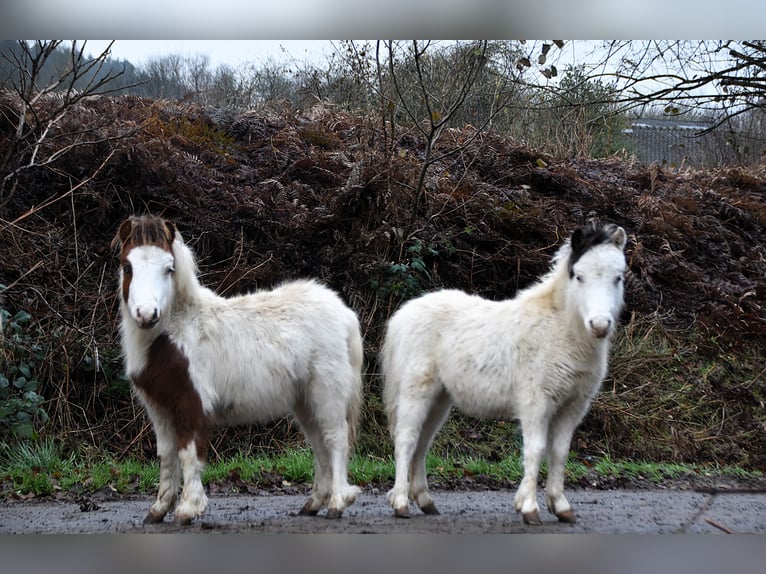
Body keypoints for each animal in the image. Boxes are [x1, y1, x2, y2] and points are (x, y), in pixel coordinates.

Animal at [113, 216, 366, 528]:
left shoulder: (191, 403)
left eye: (169, 268)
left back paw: (337, 503)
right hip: (305, 401)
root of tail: (344, 314)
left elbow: (189, 454)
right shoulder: (159, 408)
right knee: (320, 446)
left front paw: (187, 509)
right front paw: (158, 509)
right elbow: (167, 455)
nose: (147, 314)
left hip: (327, 393)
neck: (175, 333)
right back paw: (313, 504)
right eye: (127, 267)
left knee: (335, 440)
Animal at [384, 222, 632, 528]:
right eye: (579, 276)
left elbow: (559, 452)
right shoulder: (536, 402)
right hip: (416, 391)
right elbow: (535, 449)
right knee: (406, 440)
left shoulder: (573, 406)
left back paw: (426, 501)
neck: (559, 331)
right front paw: (529, 508)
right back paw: (401, 502)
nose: (599, 325)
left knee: (422, 443)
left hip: (440, 399)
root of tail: (403, 314)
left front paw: (561, 506)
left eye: (618, 277)